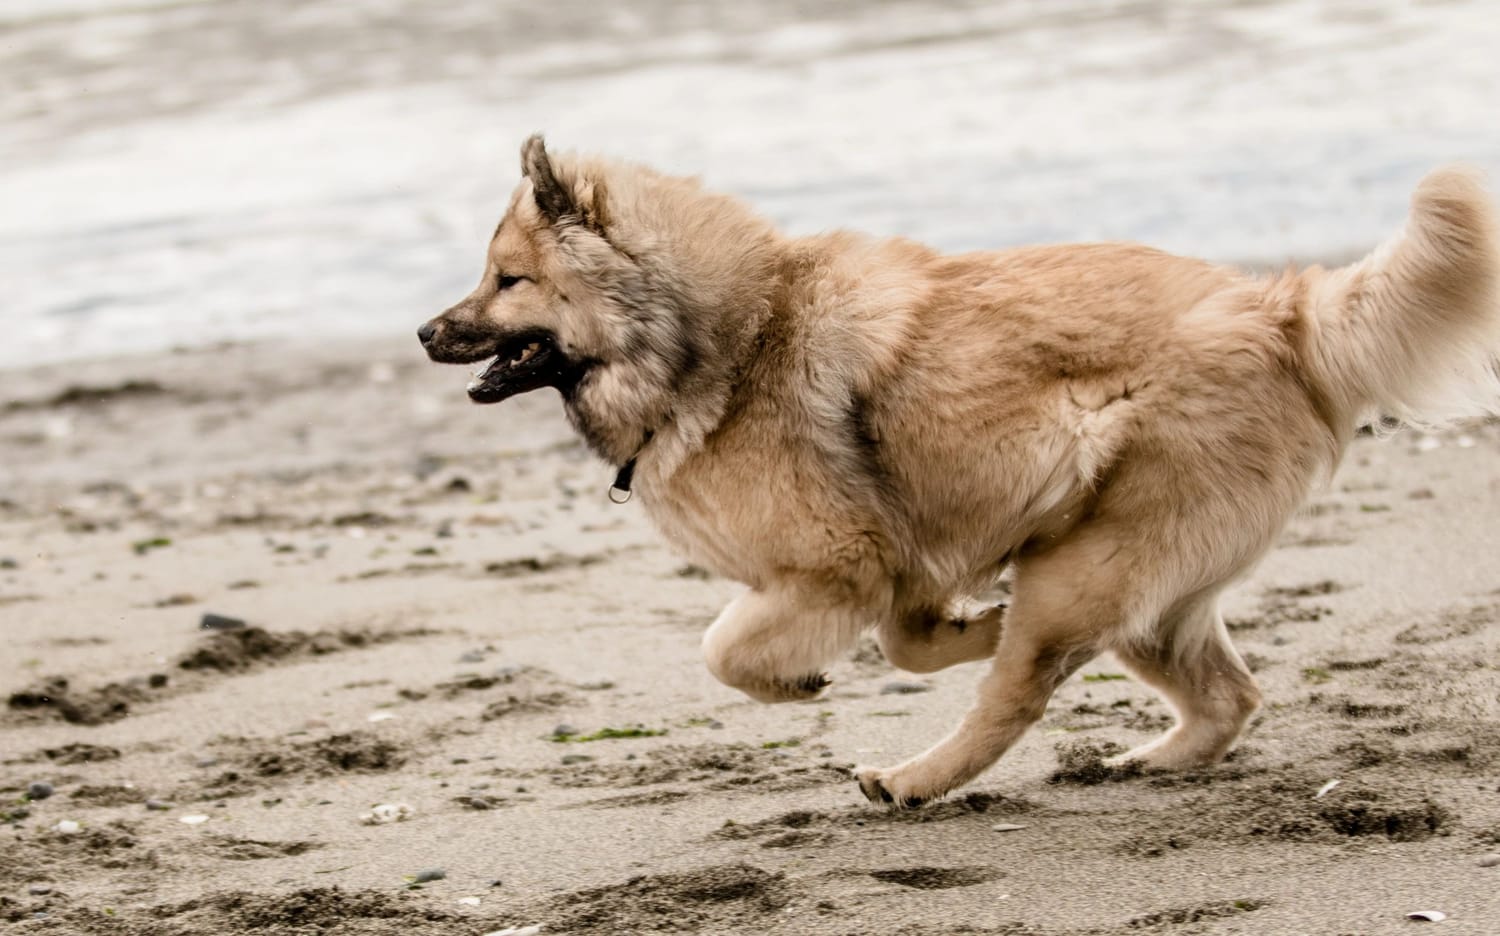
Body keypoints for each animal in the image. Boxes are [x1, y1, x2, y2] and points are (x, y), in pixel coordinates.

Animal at [420, 135, 1500, 810]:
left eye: (509, 279)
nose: (427, 333)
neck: (722, 339)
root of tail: (1281, 315)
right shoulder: (897, 555)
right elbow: (905, 639)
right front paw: (965, 626)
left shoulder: (837, 564)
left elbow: (725, 652)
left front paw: (808, 679)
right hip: (1136, 584)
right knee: (1226, 693)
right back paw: (1142, 760)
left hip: (1085, 565)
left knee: (1021, 693)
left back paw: (917, 780)